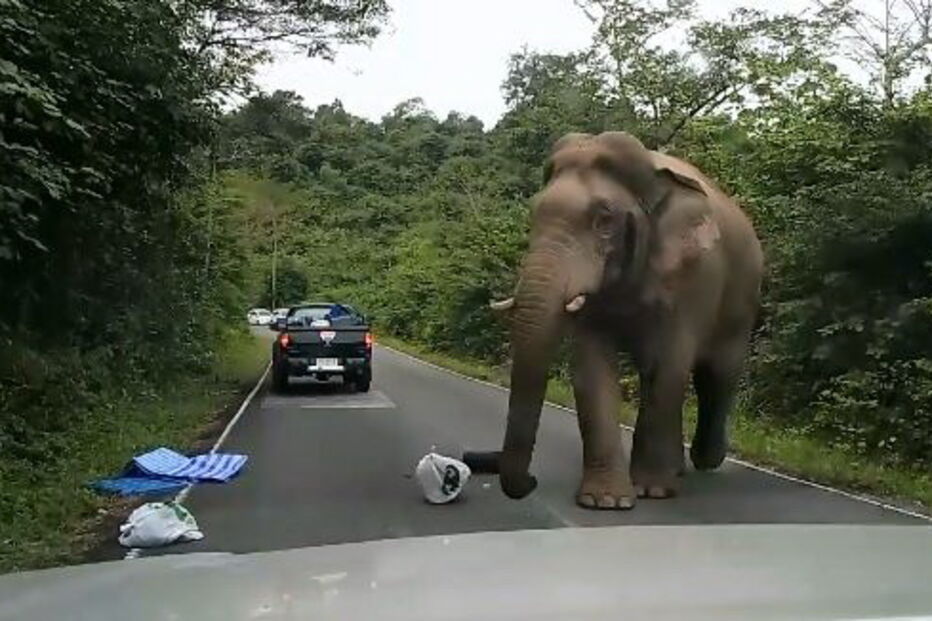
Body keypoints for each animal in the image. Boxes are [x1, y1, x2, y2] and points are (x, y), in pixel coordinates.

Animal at [490, 131, 763, 509]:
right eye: (533, 215)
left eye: (604, 220)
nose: (531, 481)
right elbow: (592, 369)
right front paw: (605, 500)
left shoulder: (690, 279)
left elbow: (669, 367)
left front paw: (652, 492)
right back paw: (675, 471)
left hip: (742, 300)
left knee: (717, 376)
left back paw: (704, 461)